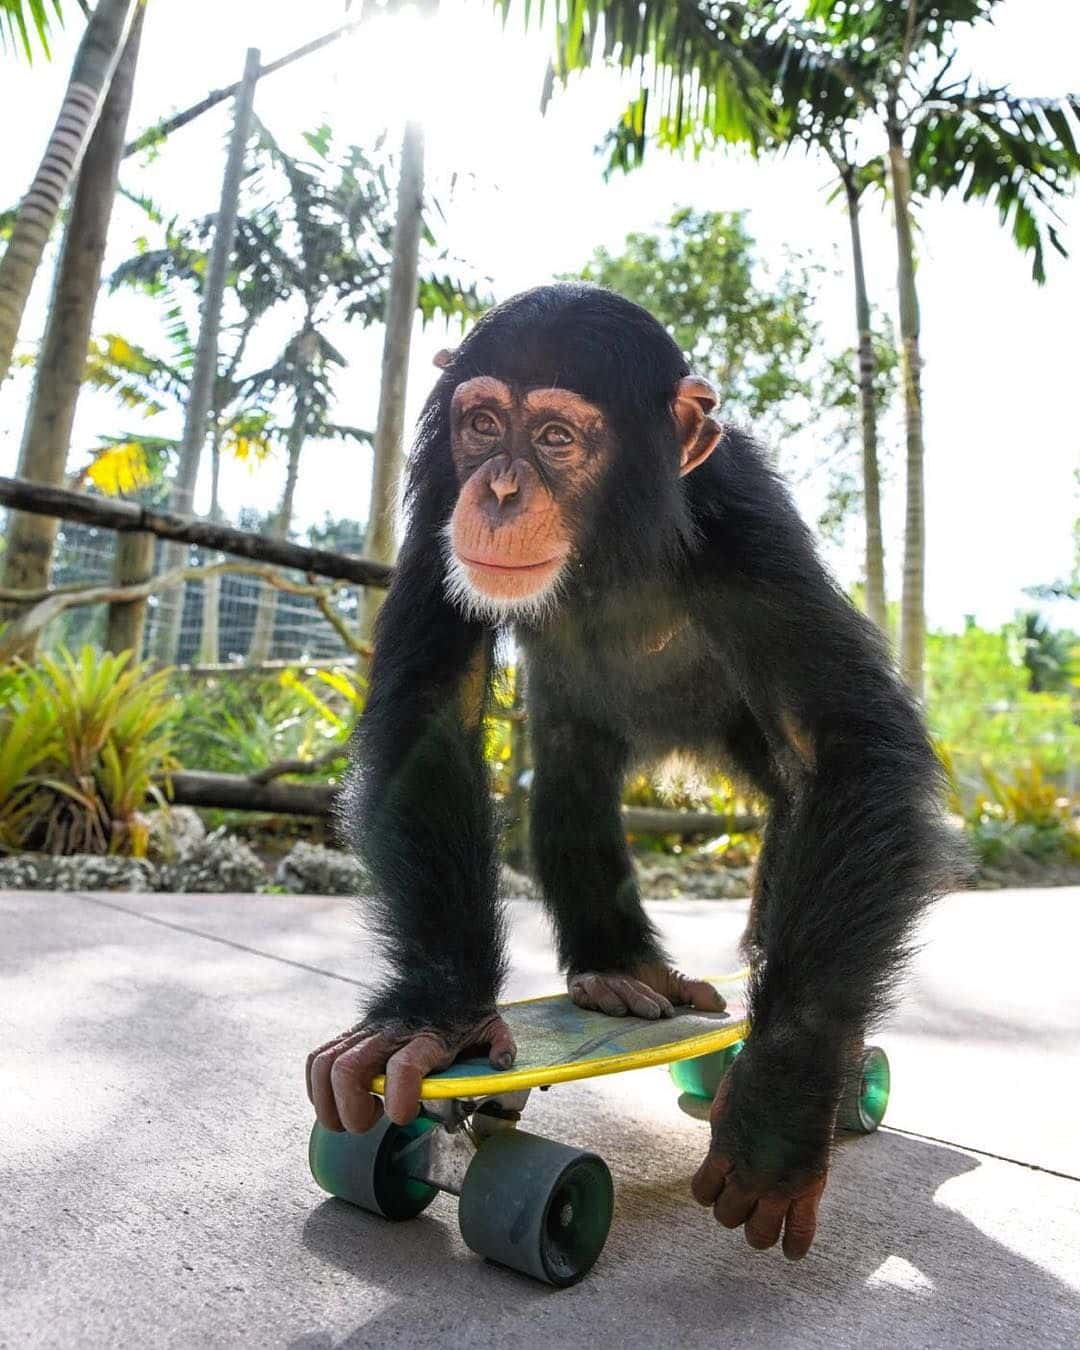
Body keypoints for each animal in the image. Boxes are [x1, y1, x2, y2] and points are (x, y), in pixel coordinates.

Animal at [306, 283, 957, 1259]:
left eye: (555, 438)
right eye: (482, 423)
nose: (498, 489)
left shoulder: (744, 521)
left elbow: (844, 747)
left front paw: (780, 1102)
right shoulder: (436, 494)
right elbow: (432, 707)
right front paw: (432, 1018)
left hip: (738, 727)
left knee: (792, 790)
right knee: (568, 776)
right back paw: (621, 974)